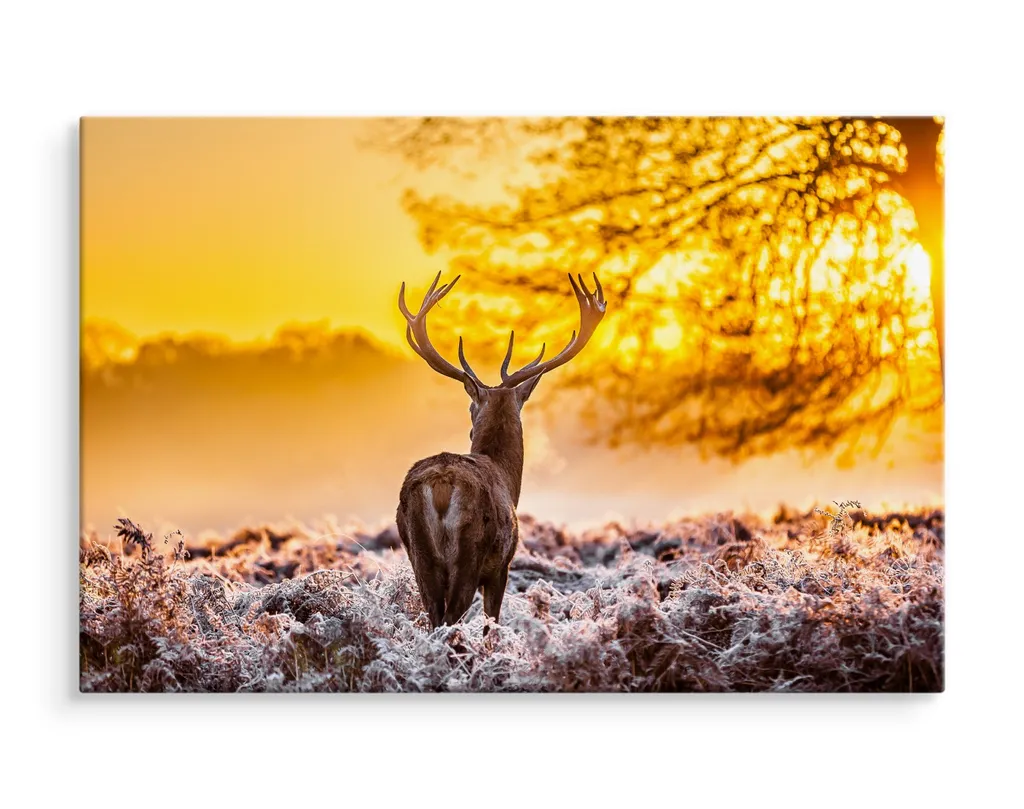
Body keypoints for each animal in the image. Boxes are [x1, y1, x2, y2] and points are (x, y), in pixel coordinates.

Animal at [395, 271, 607, 631]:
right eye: (470, 406)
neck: (507, 477)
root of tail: (440, 484)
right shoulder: (501, 566)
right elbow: (491, 623)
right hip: (471, 551)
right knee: (451, 617)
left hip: (418, 552)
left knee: (434, 615)